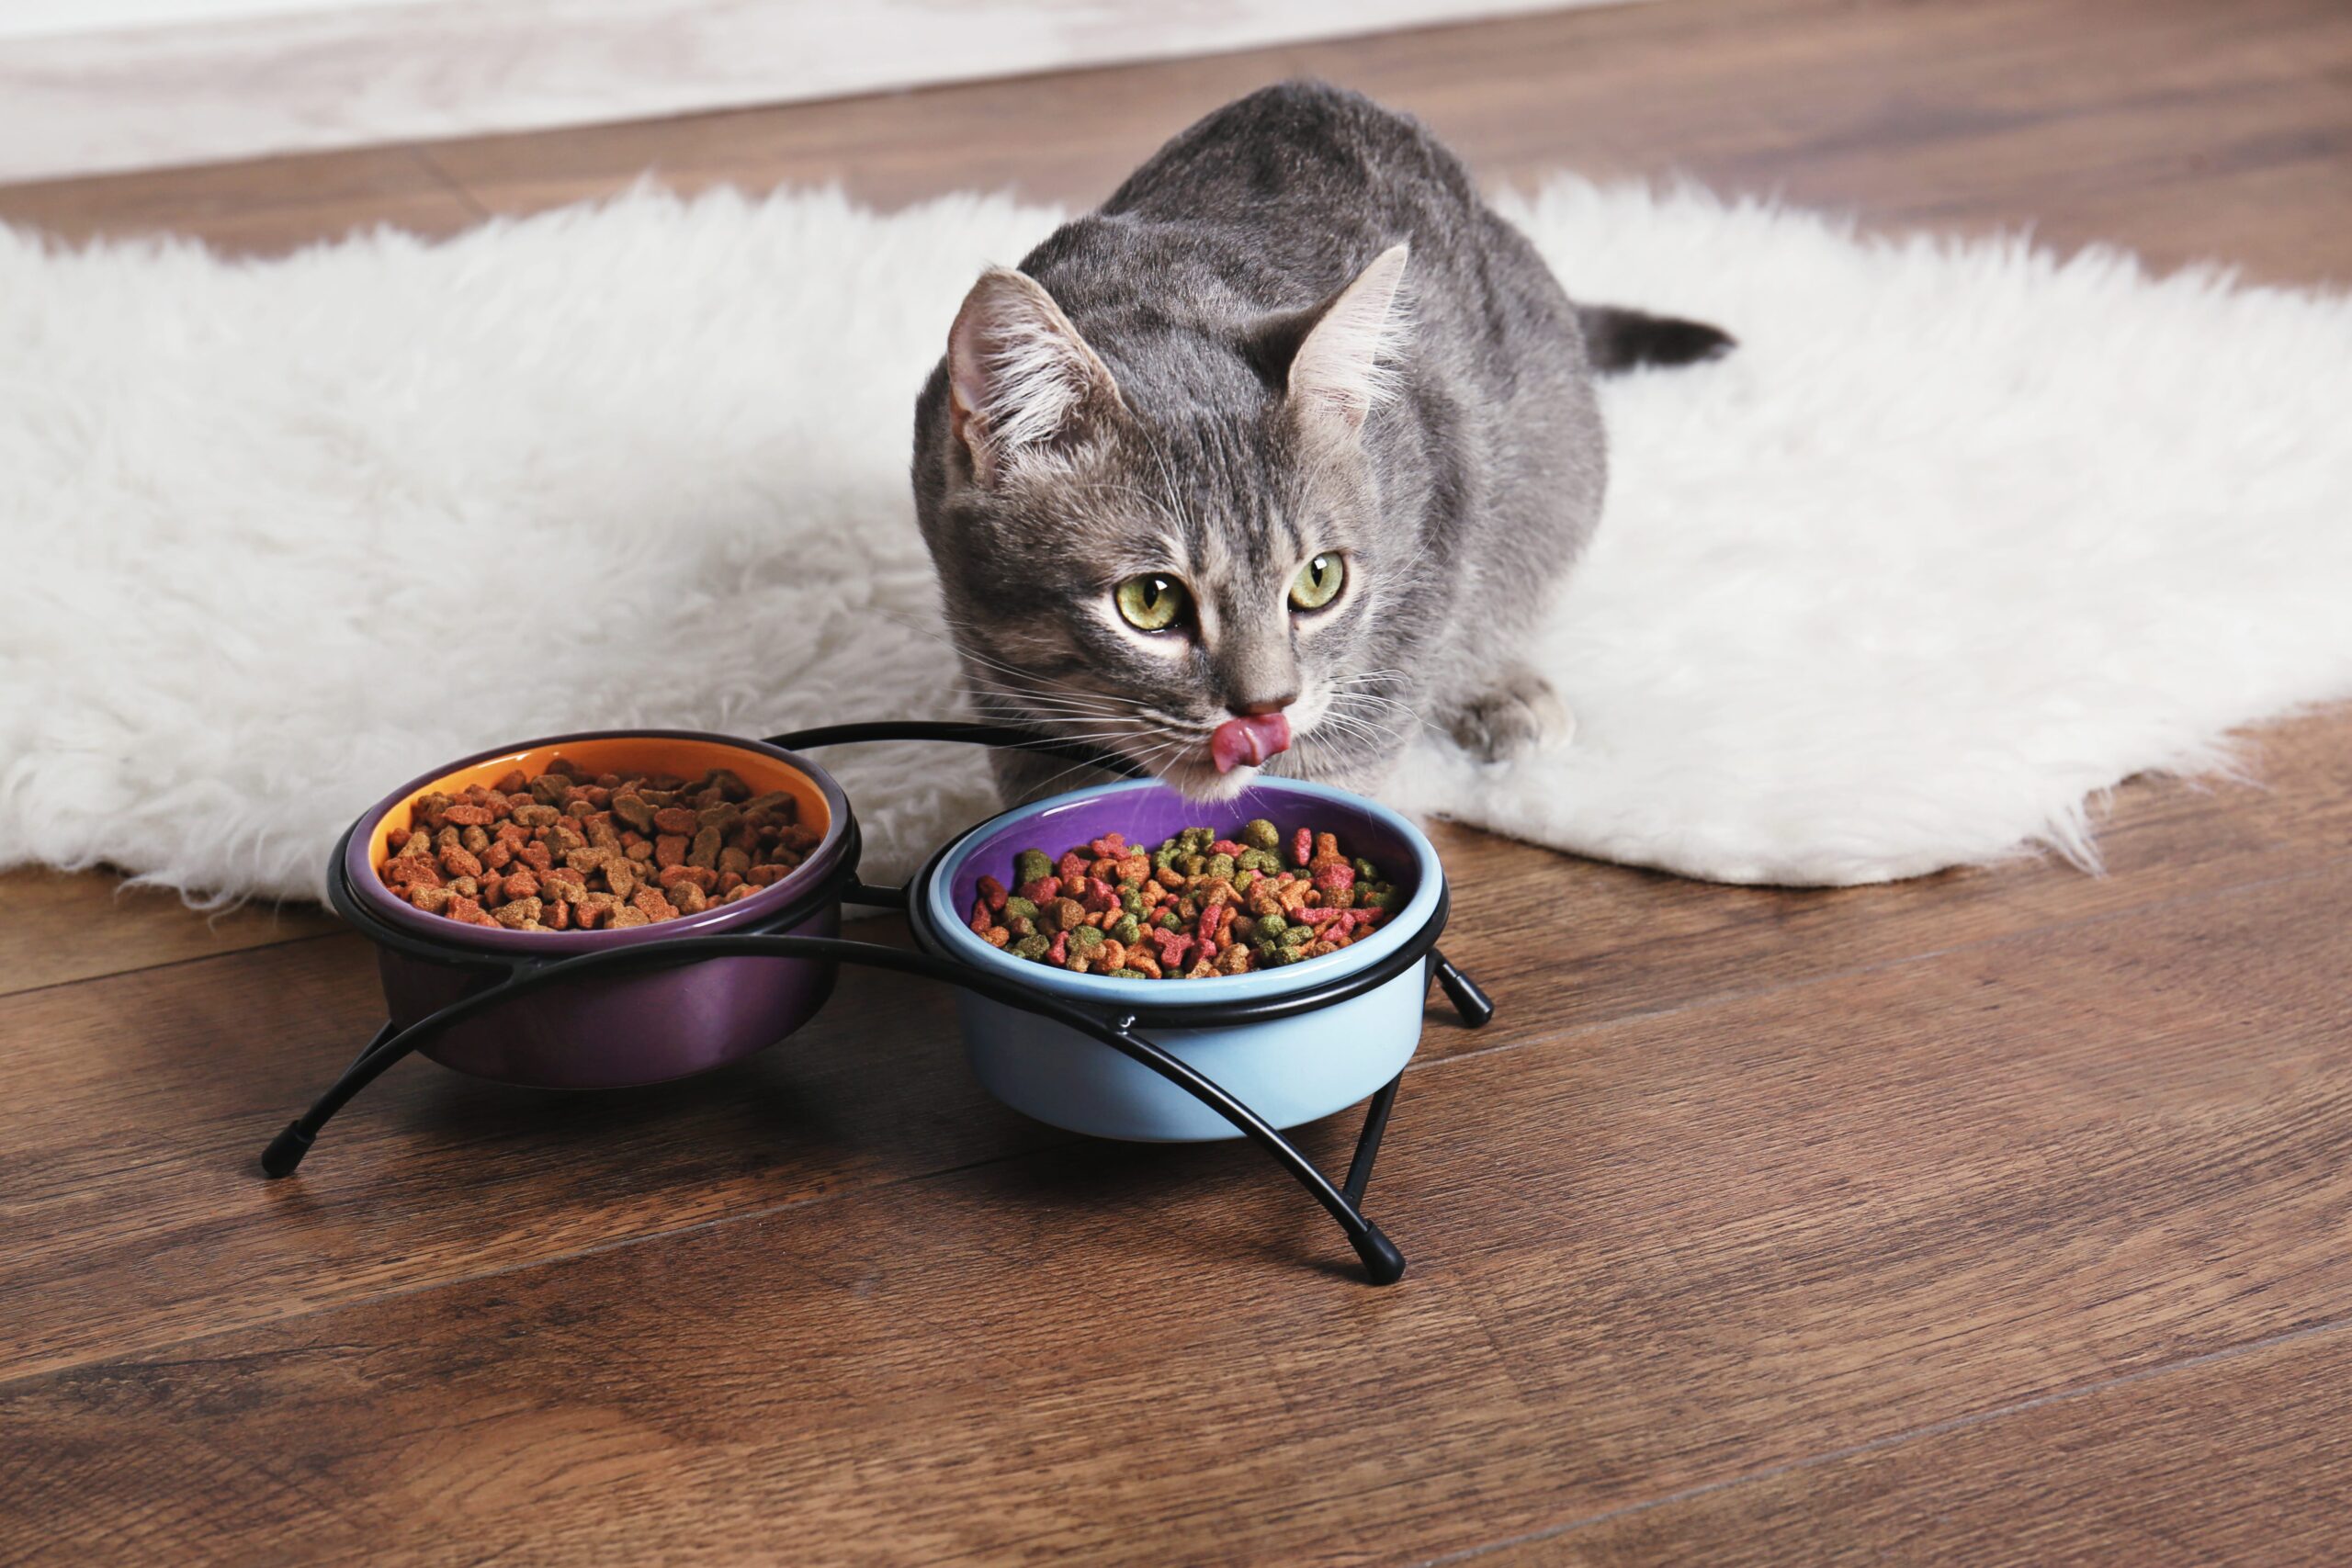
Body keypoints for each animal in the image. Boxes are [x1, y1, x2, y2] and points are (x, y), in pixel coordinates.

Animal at [908, 81, 1721, 804]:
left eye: (1319, 580)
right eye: (1149, 600)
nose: (1267, 705)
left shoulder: (1429, 545)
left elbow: (1346, 750)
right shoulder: (990, 660)